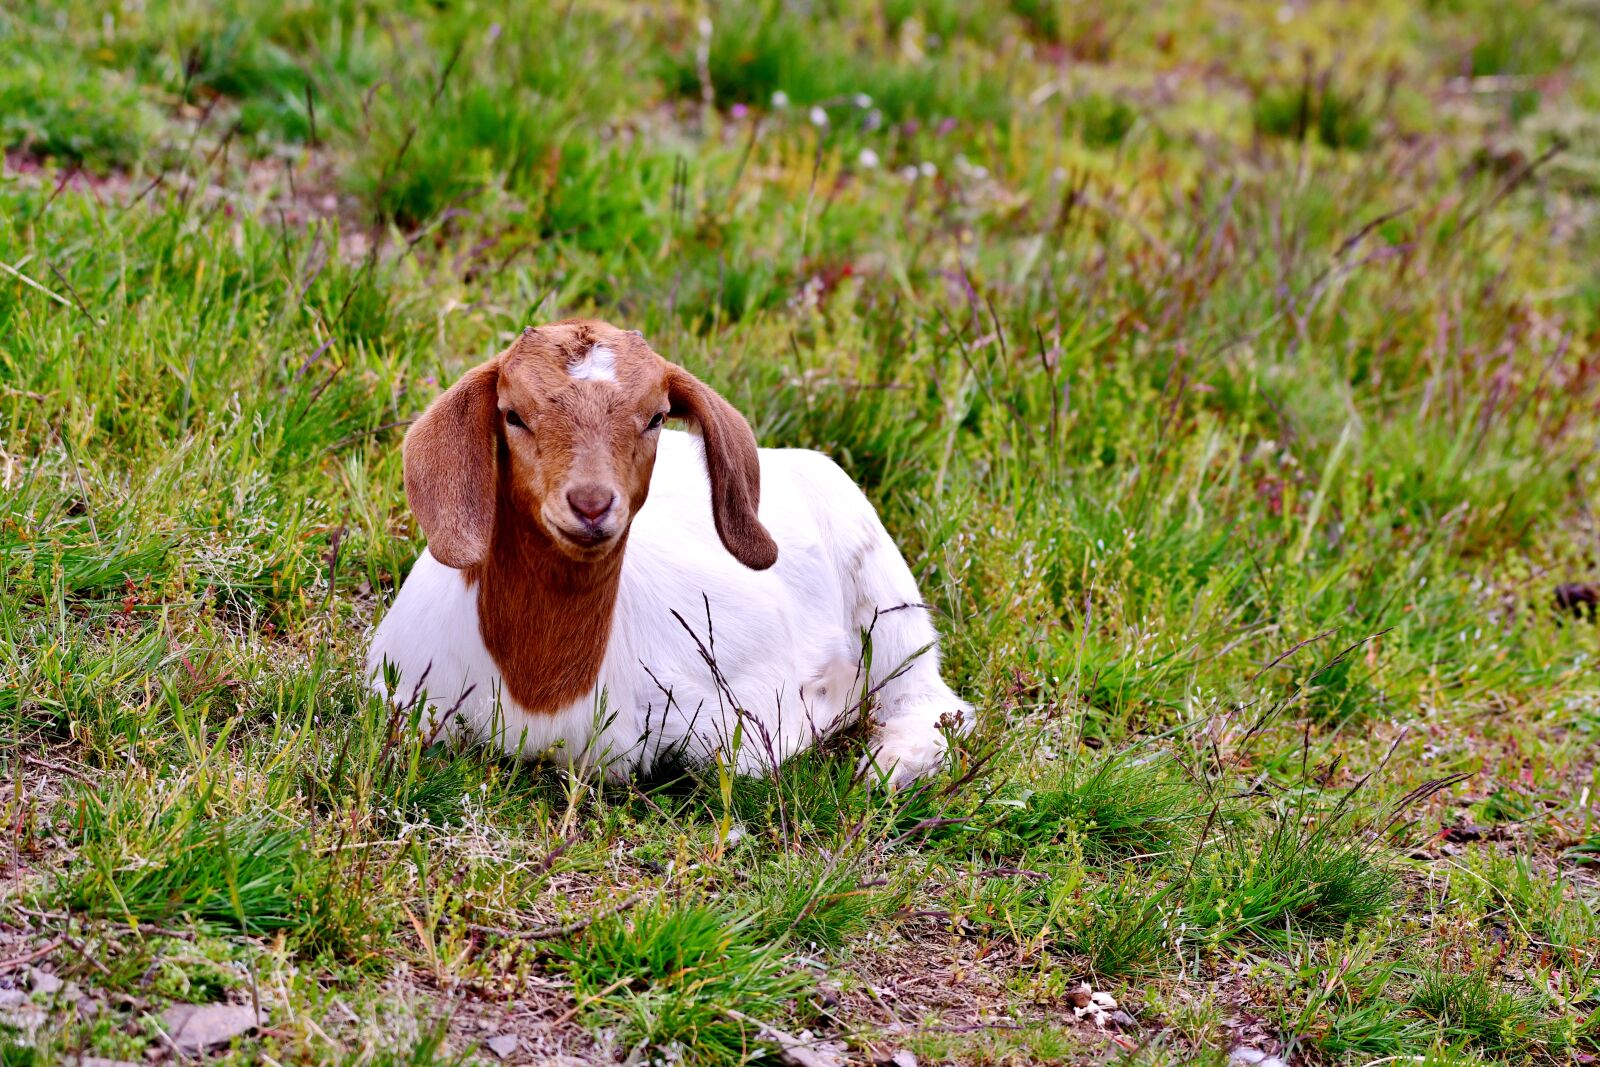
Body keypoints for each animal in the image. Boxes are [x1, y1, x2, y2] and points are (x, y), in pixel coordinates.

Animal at [367, 319, 971, 785]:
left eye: (656, 416)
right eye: (513, 414)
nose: (591, 504)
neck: (540, 693)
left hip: (884, 593)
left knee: (933, 699)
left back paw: (891, 765)